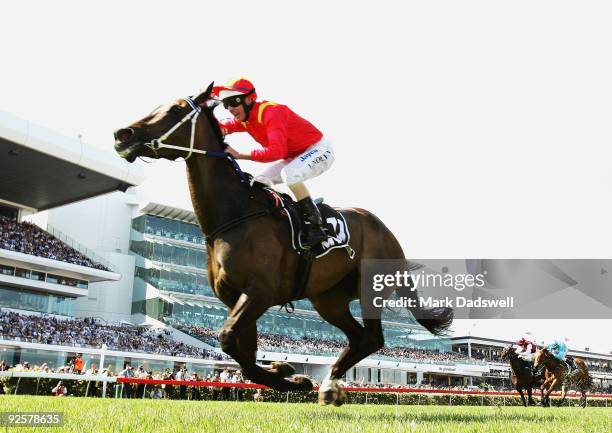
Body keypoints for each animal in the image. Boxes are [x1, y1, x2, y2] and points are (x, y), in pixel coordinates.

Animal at [112, 84, 452, 404]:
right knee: (360, 338)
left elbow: (228, 339)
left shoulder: (260, 292)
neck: (236, 214)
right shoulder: (235, 296)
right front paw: (285, 370)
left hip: (370, 288)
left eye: (174, 110)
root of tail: (387, 232)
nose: (122, 135)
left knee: (373, 339)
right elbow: (243, 351)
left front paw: (292, 378)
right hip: (328, 299)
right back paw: (329, 384)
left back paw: (327, 383)